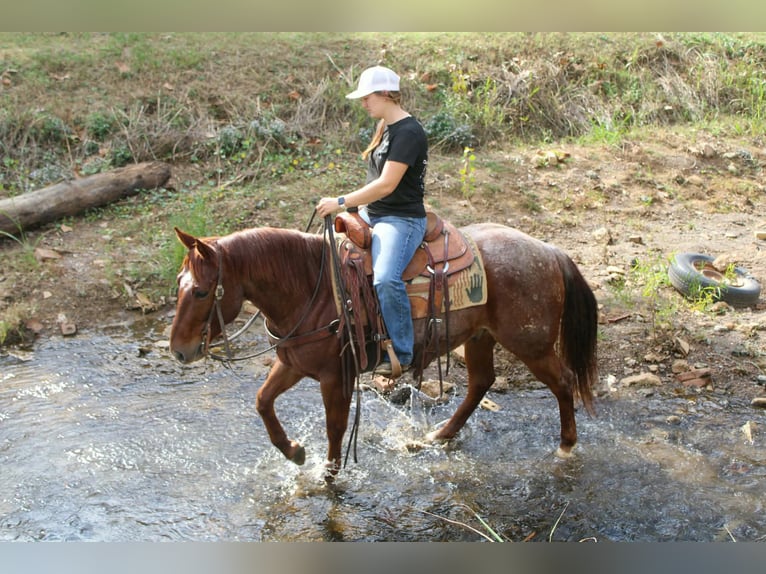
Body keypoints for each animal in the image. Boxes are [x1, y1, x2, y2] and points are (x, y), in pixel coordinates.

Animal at [169, 218, 599, 480]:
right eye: (178, 282)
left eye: (202, 291)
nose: (179, 351)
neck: (312, 289)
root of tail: (550, 251)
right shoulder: (292, 364)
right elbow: (262, 401)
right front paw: (294, 452)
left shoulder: (334, 377)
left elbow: (336, 427)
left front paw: (329, 477)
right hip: (481, 337)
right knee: (481, 383)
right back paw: (438, 436)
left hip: (531, 343)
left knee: (563, 381)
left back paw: (565, 447)